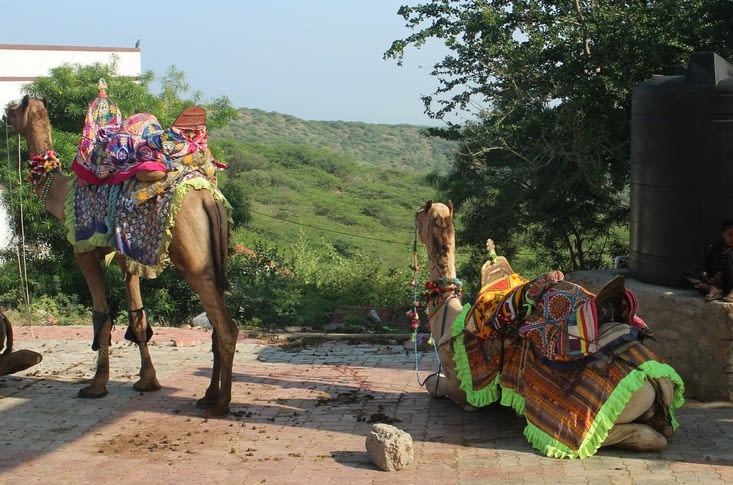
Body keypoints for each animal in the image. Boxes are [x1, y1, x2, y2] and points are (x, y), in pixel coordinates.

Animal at [5, 95, 238, 418]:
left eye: (15, 109)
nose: (5, 116)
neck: (61, 195)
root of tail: (207, 198)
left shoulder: (84, 251)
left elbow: (102, 317)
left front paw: (95, 386)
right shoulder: (126, 256)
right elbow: (137, 315)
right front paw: (147, 381)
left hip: (193, 260)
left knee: (226, 327)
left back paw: (220, 404)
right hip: (216, 256)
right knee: (218, 322)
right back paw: (208, 396)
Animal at [415, 200, 685, 458]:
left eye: (420, 215)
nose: (415, 218)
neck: (449, 317)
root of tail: (655, 378)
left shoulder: (464, 389)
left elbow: (432, 383)